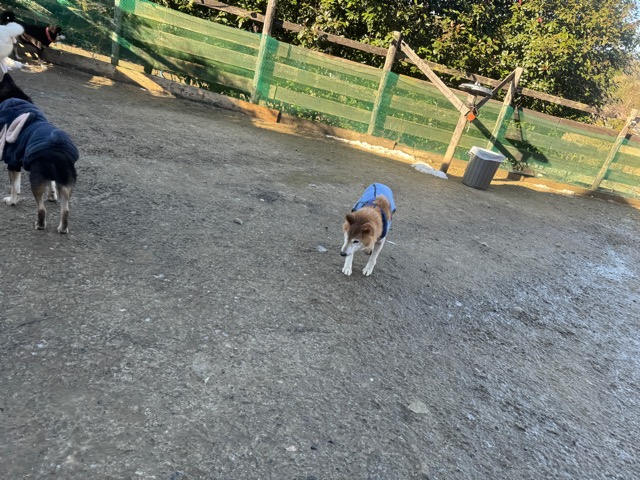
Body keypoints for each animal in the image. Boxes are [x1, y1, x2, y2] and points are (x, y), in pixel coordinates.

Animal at [0, 82, 79, 233]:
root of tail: (59, 150)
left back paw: (40, 225)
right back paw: (62, 228)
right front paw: (52, 196)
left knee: (42, 209)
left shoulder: (13, 162)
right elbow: (51, 183)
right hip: (66, 182)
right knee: (65, 209)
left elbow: (14, 187)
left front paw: (12, 201)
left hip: (36, 178)